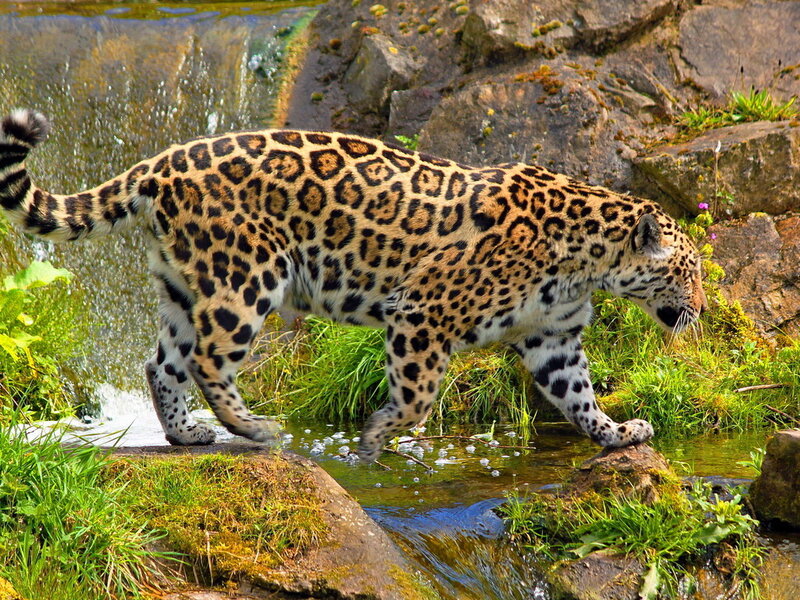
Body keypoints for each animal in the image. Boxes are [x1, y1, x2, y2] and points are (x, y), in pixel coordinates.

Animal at [0, 109, 706, 462]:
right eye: (691, 271)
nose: (700, 310)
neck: (588, 259)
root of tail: (160, 162)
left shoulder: (552, 339)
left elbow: (579, 396)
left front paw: (616, 434)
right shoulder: (422, 312)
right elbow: (418, 396)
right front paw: (374, 437)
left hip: (183, 285)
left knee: (163, 363)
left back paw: (187, 435)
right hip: (246, 277)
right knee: (208, 358)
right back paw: (255, 430)